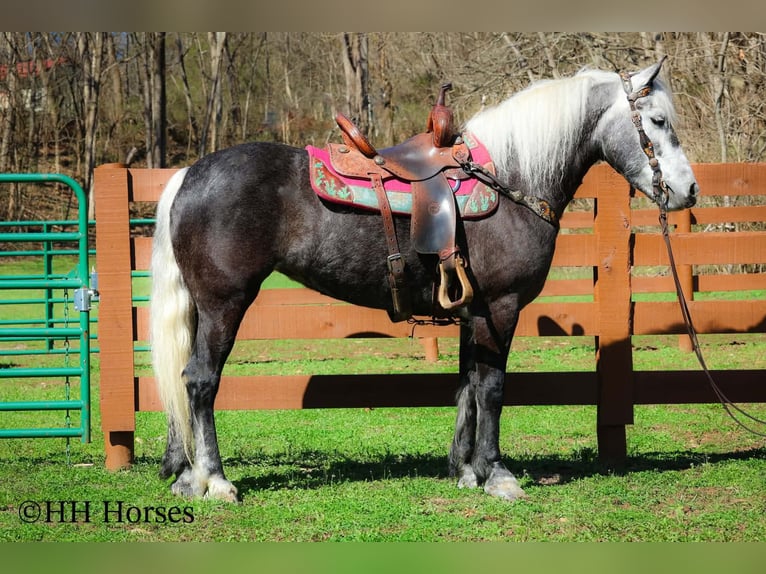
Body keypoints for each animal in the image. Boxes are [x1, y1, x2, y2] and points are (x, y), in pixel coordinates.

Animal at [150, 59, 698, 502]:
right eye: (657, 121)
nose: (689, 190)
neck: (512, 177)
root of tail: (189, 175)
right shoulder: (501, 308)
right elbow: (493, 388)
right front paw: (497, 473)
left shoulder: (473, 311)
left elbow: (468, 386)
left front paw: (466, 471)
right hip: (225, 304)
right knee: (201, 381)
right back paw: (216, 480)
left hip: (203, 308)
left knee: (187, 380)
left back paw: (188, 477)